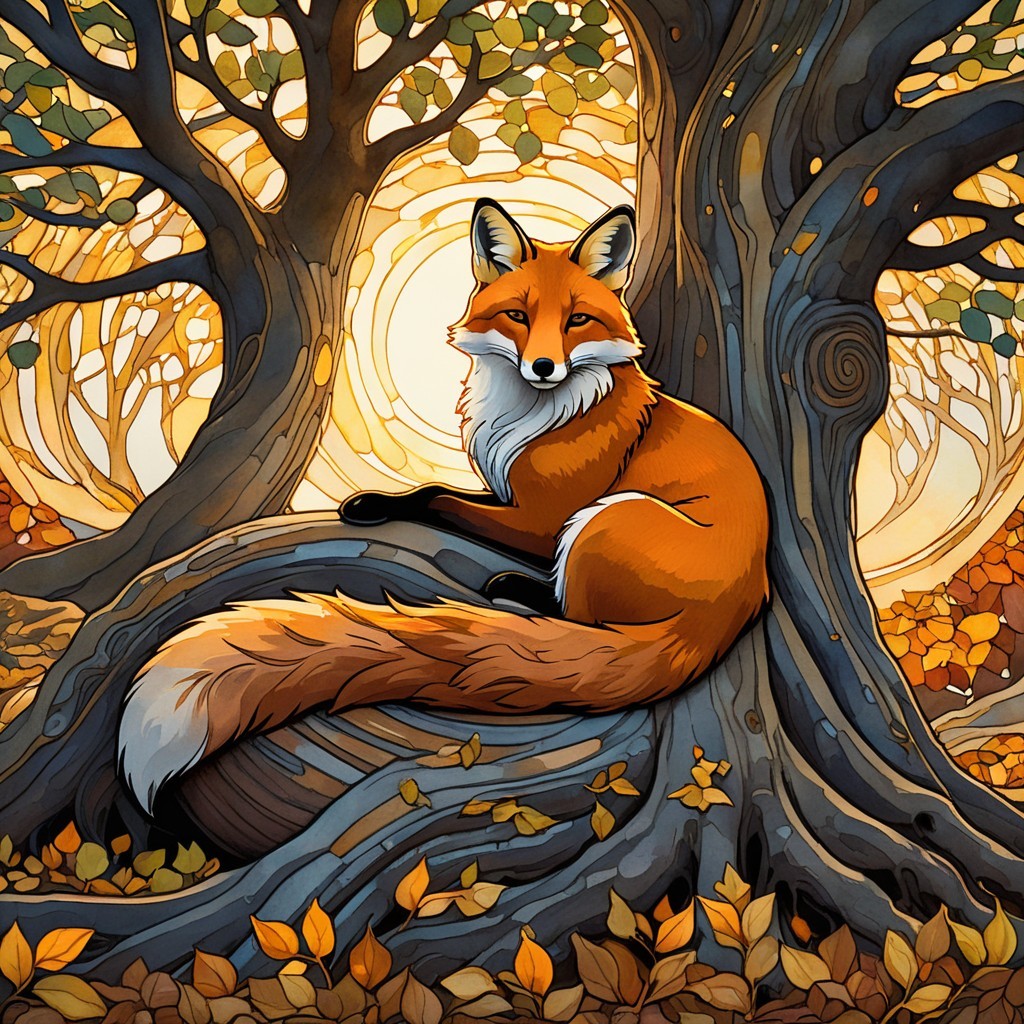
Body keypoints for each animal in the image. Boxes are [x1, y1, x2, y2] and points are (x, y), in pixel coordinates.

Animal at [118, 199, 771, 813]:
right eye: (518, 316)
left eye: (578, 321)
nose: (543, 367)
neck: (532, 413)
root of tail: (734, 610)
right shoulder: (508, 494)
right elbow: (439, 489)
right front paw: (376, 499)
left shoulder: (543, 521)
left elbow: (436, 496)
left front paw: (374, 505)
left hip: (605, 517)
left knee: (581, 618)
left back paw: (518, 589)